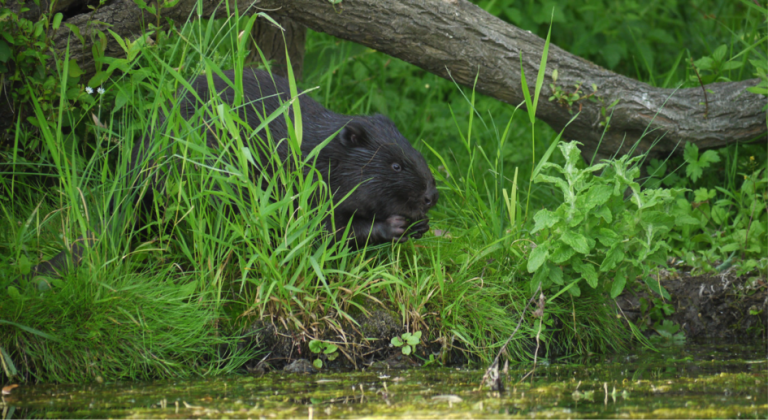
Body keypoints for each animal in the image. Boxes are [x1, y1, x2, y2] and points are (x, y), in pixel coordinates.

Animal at [30, 68, 440, 278]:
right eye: (396, 165)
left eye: (415, 154)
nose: (431, 196)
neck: (316, 150)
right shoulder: (301, 184)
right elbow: (322, 231)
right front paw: (394, 226)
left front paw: (419, 226)